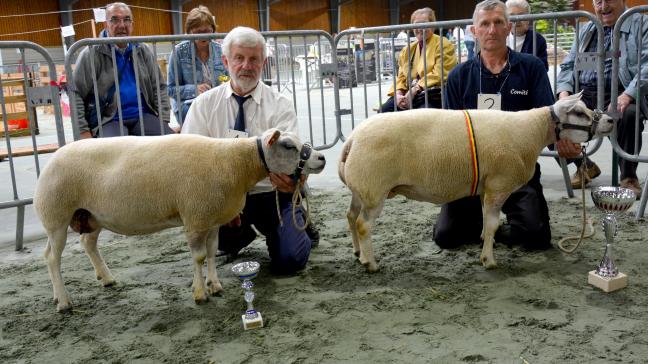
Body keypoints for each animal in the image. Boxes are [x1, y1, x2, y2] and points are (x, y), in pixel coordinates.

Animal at [32, 129, 324, 312]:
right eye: (288, 146)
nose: (321, 158)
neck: (235, 163)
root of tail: (52, 159)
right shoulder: (195, 217)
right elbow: (198, 257)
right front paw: (200, 294)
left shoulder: (211, 218)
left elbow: (210, 253)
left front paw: (215, 285)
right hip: (56, 215)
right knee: (51, 257)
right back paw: (64, 301)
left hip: (91, 215)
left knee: (87, 244)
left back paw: (105, 279)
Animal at [340, 92, 612, 272]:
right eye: (579, 112)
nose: (610, 120)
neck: (532, 131)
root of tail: (352, 139)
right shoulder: (500, 184)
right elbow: (491, 223)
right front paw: (488, 261)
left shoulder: (487, 186)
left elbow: (486, 220)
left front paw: (484, 241)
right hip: (374, 189)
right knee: (363, 225)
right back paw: (371, 263)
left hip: (360, 190)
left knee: (351, 217)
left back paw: (357, 252)